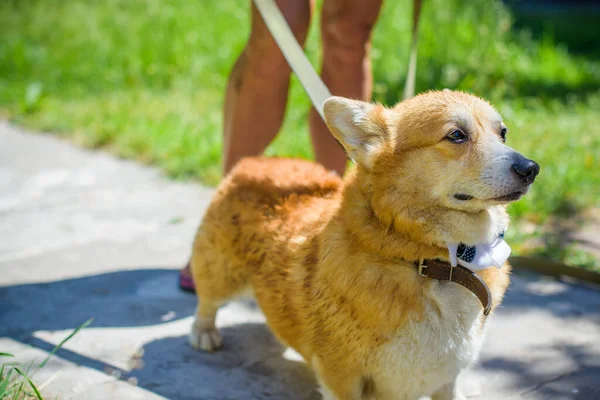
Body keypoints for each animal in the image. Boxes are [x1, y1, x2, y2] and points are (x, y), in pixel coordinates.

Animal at [188, 91, 540, 400]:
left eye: (503, 133)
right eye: (456, 135)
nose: (531, 169)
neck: (433, 262)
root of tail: (256, 162)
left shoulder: (447, 378)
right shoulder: (342, 375)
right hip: (222, 273)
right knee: (207, 300)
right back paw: (204, 333)